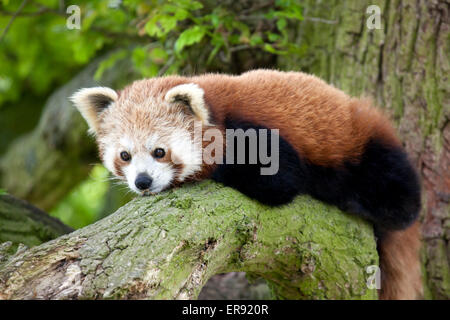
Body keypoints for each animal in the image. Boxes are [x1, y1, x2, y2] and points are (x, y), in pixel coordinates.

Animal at [72, 69, 424, 300]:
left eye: (159, 152)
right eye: (125, 155)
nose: (143, 182)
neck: (217, 110)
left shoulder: (260, 134)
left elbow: (280, 181)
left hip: (364, 141)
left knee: (398, 190)